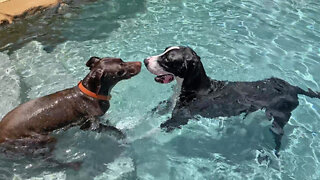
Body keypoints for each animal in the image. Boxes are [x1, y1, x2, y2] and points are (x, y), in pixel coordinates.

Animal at [0, 57, 141, 149]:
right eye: (120, 69)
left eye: (122, 60)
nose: (140, 63)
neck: (90, 94)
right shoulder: (89, 125)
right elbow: (113, 129)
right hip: (42, 138)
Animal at [144, 46, 320, 153]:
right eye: (164, 50)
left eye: (168, 60)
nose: (145, 60)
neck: (196, 87)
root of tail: (294, 88)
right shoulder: (168, 105)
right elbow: (152, 114)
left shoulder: (180, 119)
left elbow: (156, 129)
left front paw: (141, 137)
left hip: (280, 117)